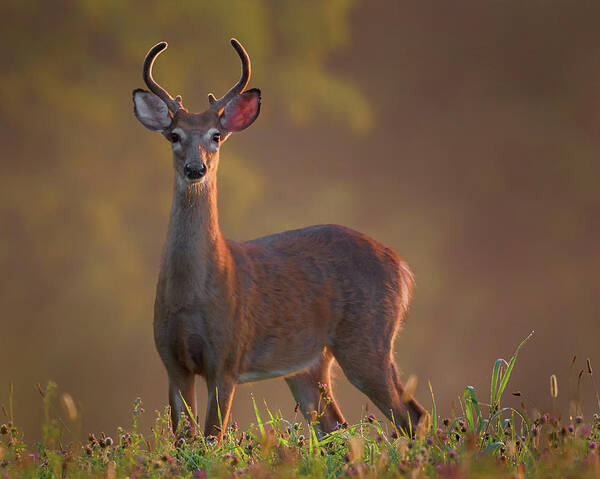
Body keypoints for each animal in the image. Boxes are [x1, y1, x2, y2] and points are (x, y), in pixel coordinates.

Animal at [132, 39, 426, 440]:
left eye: (215, 136)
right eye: (174, 136)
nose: (196, 168)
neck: (191, 295)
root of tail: (402, 267)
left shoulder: (228, 357)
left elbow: (212, 438)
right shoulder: (172, 361)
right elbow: (183, 440)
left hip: (368, 338)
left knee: (411, 415)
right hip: (309, 362)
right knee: (336, 426)